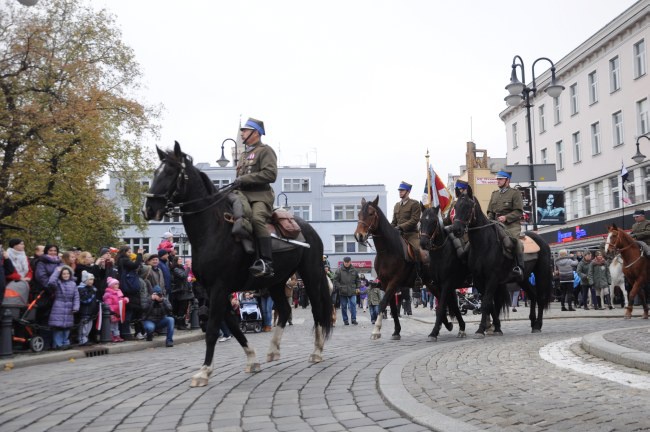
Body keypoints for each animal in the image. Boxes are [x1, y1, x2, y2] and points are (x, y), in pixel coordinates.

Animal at [142, 143, 334, 388]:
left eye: (170, 172)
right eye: (155, 173)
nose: (149, 209)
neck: (213, 229)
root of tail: (308, 228)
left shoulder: (219, 287)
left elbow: (213, 329)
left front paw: (204, 371)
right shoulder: (213, 290)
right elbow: (232, 325)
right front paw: (252, 359)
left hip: (310, 274)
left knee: (318, 309)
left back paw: (317, 351)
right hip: (276, 280)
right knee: (284, 309)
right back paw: (273, 350)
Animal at [352, 196, 454, 340]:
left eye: (371, 214)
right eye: (359, 214)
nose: (359, 236)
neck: (388, 251)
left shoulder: (394, 282)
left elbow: (383, 303)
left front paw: (376, 330)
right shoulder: (385, 284)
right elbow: (393, 308)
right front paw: (396, 331)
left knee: (442, 300)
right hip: (430, 284)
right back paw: (444, 325)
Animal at [416, 205, 466, 340]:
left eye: (434, 221)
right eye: (421, 221)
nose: (423, 243)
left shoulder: (446, 283)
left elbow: (442, 307)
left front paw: (434, 332)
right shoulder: (437, 284)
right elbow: (451, 306)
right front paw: (460, 327)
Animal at [450, 186, 552, 338]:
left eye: (468, 206)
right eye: (456, 207)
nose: (456, 229)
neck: (484, 244)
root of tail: (541, 240)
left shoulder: (492, 278)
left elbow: (486, 302)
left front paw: (481, 329)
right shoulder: (479, 280)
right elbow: (489, 303)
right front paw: (497, 327)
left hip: (541, 274)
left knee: (540, 297)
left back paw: (538, 325)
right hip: (523, 278)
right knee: (533, 295)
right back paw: (533, 322)